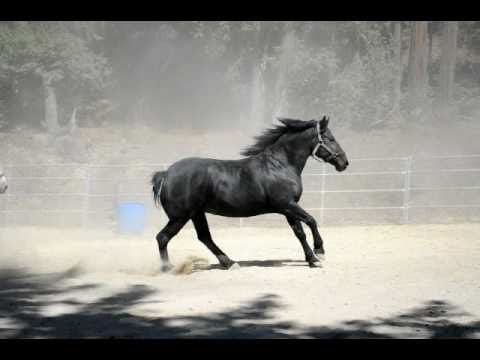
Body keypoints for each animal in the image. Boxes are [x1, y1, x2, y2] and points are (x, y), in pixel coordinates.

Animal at [154, 116, 348, 272]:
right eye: (330, 138)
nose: (344, 163)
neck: (280, 165)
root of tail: (166, 174)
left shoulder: (288, 209)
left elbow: (299, 233)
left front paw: (312, 260)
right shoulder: (287, 205)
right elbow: (311, 221)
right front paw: (319, 253)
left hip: (196, 214)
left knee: (204, 237)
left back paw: (230, 263)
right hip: (181, 216)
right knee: (163, 237)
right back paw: (168, 268)